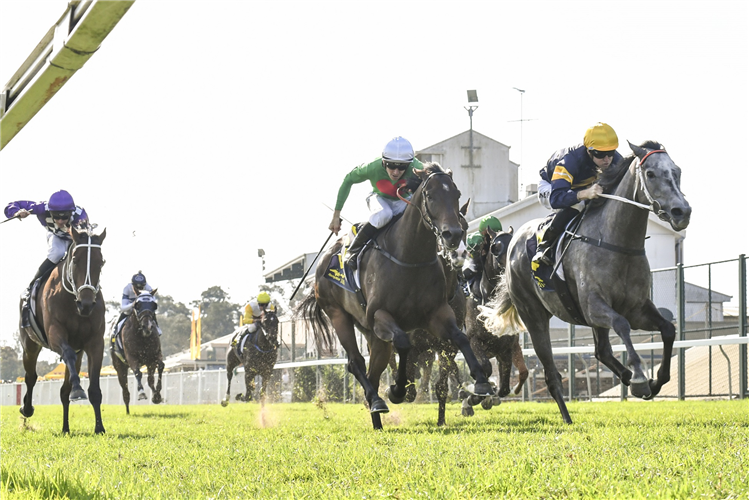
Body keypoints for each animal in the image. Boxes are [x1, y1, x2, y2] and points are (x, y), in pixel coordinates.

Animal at [17, 226, 106, 434]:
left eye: (101, 262)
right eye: (75, 259)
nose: (86, 304)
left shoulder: (95, 343)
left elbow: (94, 389)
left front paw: (99, 427)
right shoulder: (55, 334)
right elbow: (67, 354)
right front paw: (78, 390)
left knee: (64, 391)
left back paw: (66, 428)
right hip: (30, 345)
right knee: (31, 377)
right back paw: (27, 408)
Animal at [298, 163, 490, 430]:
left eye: (457, 194)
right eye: (430, 195)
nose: (452, 235)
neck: (409, 258)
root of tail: (325, 257)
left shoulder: (436, 314)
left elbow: (460, 339)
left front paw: (480, 383)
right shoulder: (381, 315)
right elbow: (403, 343)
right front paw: (398, 390)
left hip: (371, 333)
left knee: (373, 370)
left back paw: (376, 417)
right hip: (338, 315)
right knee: (356, 362)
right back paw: (378, 400)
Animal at [486, 140, 688, 422]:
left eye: (677, 171)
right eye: (650, 173)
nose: (682, 212)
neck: (616, 241)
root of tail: (512, 244)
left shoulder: (636, 308)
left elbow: (668, 329)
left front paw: (655, 381)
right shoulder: (594, 306)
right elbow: (622, 324)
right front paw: (639, 377)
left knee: (601, 350)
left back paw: (626, 377)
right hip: (533, 315)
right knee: (551, 373)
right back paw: (568, 416)